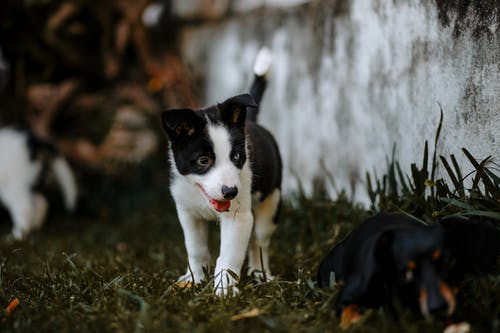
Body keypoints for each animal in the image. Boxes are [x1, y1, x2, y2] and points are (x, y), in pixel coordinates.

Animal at [162, 48, 284, 294]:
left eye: (236, 157)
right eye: (203, 160)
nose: (230, 192)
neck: (202, 197)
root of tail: (251, 121)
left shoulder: (238, 217)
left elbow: (229, 256)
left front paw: (225, 290)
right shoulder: (188, 213)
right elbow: (196, 249)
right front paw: (195, 279)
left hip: (272, 200)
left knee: (259, 241)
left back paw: (261, 274)